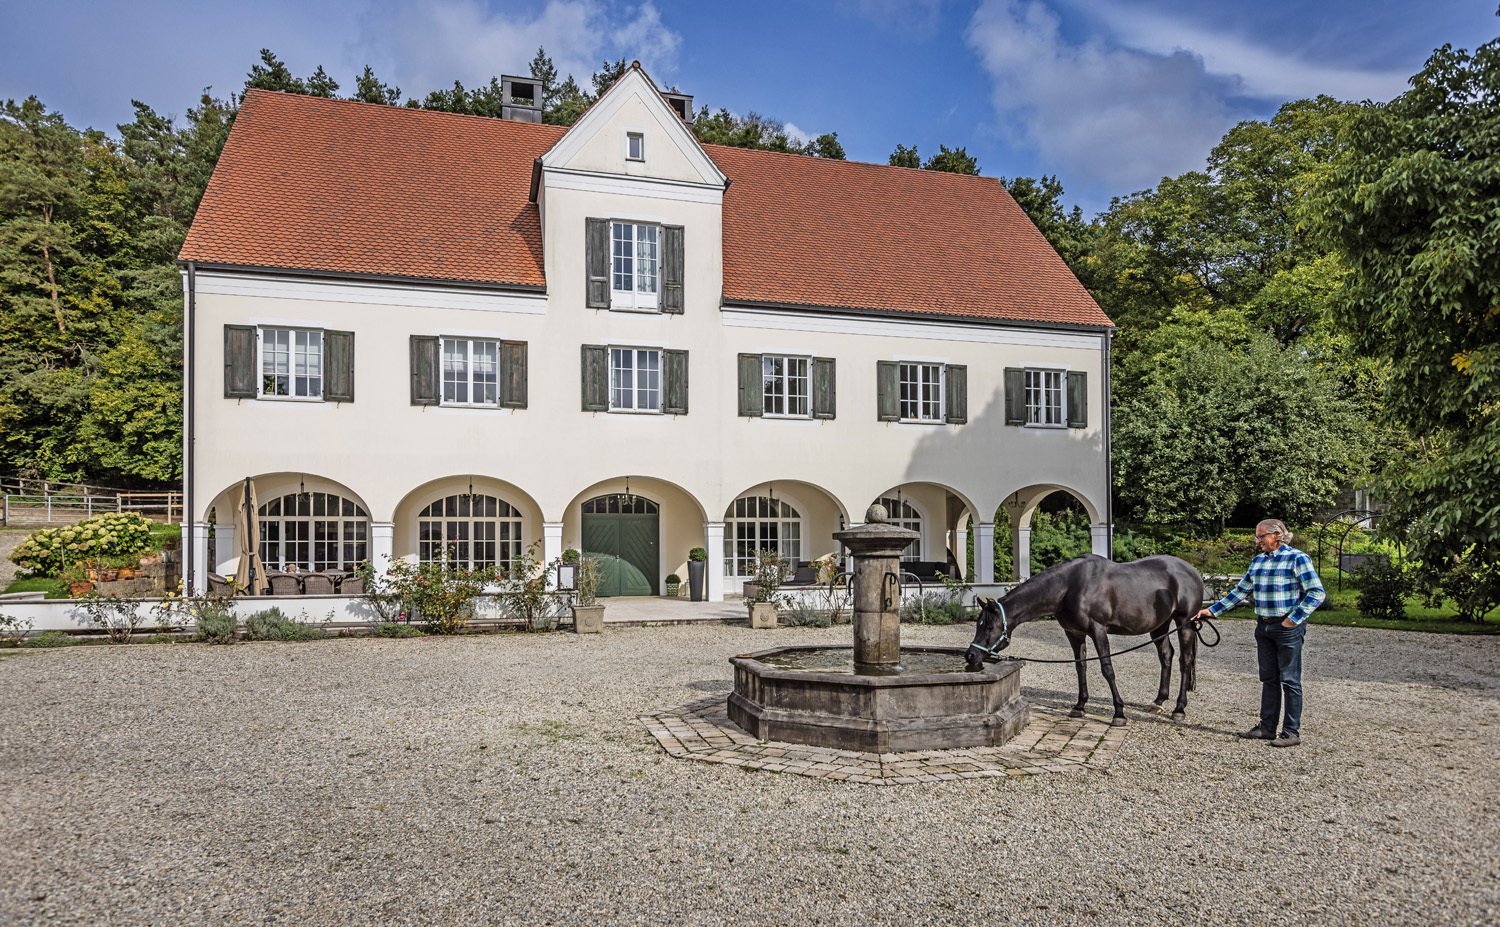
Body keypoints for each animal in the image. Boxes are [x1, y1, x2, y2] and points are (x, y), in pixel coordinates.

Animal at [966, 555, 1200, 723]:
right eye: (979, 624)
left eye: (989, 626)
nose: (971, 655)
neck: (1069, 587)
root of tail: (1193, 572)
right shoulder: (1074, 633)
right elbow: (1081, 667)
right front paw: (1079, 706)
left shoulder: (1098, 630)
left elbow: (1107, 669)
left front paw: (1119, 712)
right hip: (1160, 626)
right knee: (1166, 655)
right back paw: (1159, 701)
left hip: (1185, 623)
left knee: (1185, 661)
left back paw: (1179, 708)